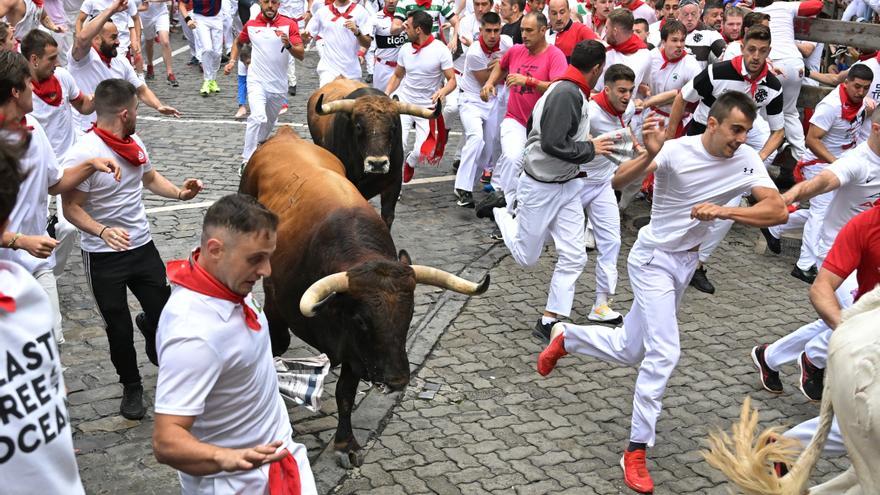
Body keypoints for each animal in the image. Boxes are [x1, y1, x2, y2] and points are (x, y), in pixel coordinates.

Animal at [239, 128, 488, 468]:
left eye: (410, 314)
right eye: (361, 319)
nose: (398, 380)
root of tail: (285, 135)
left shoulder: (357, 352)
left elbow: (346, 394)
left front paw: (345, 444)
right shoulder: (278, 307)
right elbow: (276, 349)